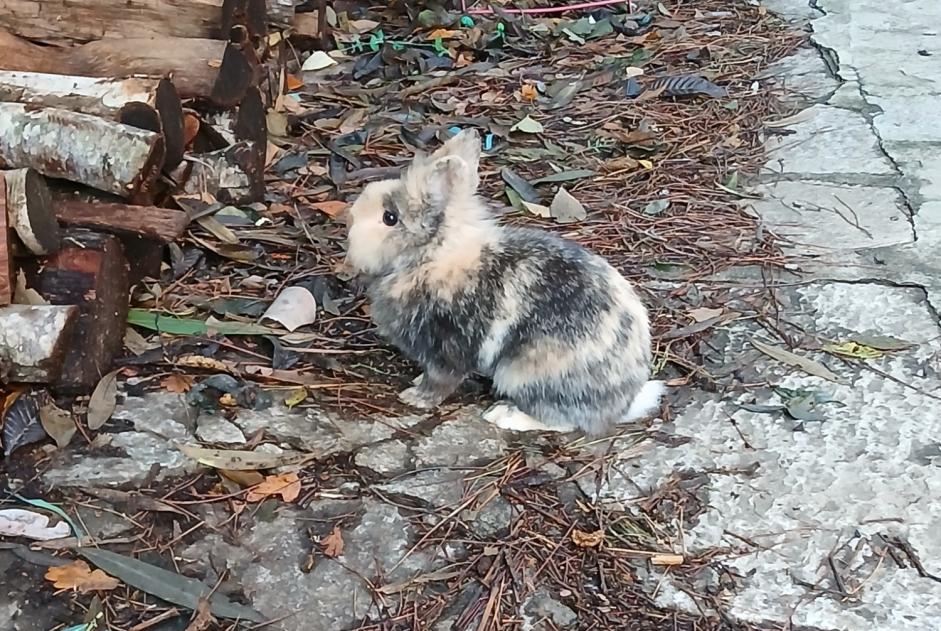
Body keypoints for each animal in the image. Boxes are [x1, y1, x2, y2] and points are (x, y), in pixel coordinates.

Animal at [344, 128, 660, 434]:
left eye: (390, 217)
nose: (350, 216)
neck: (429, 258)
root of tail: (622, 403)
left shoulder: (447, 347)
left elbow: (441, 380)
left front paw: (415, 398)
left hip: (527, 374)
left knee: (562, 421)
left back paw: (504, 416)